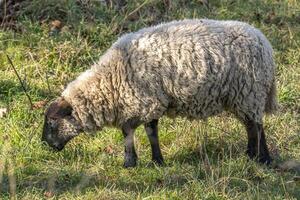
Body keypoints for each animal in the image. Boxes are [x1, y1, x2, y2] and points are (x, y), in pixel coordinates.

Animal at [41, 19, 276, 167]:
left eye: (52, 122)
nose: (44, 144)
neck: (111, 81)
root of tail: (264, 42)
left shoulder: (147, 102)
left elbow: (142, 133)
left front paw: (141, 162)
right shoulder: (139, 105)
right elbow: (136, 133)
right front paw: (144, 162)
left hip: (248, 92)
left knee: (254, 127)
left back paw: (255, 157)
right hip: (245, 97)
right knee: (255, 124)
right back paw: (262, 157)